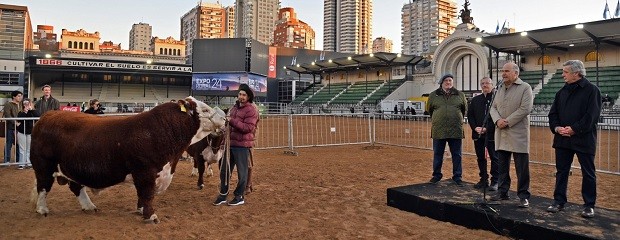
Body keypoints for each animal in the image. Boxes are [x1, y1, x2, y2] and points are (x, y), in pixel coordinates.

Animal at [30, 97, 225, 223]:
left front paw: (141, 210)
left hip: (71, 168)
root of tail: (46, 117)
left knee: (76, 187)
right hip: (43, 166)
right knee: (43, 187)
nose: (224, 117)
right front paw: (150, 215)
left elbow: (143, 195)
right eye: (205, 109)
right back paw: (42, 209)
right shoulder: (145, 172)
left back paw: (89, 206)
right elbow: (147, 194)